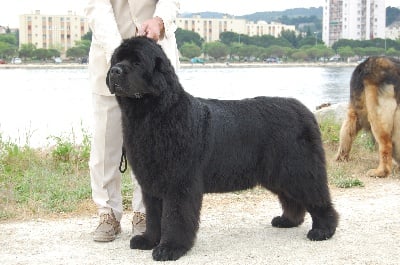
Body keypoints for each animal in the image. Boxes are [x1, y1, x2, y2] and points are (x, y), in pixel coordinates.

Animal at [106, 36, 338, 260]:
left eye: (137, 62)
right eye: (117, 60)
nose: (115, 71)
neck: (154, 114)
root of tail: (305, 111)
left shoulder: (179, 183)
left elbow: (175, 217)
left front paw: (170, 248)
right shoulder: (152, 183)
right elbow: (154, 216)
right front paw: (148, 240)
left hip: (298, 169)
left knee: (317, 198)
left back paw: (323, 230)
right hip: (279, 174)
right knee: (292, 198)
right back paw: (288, 220)